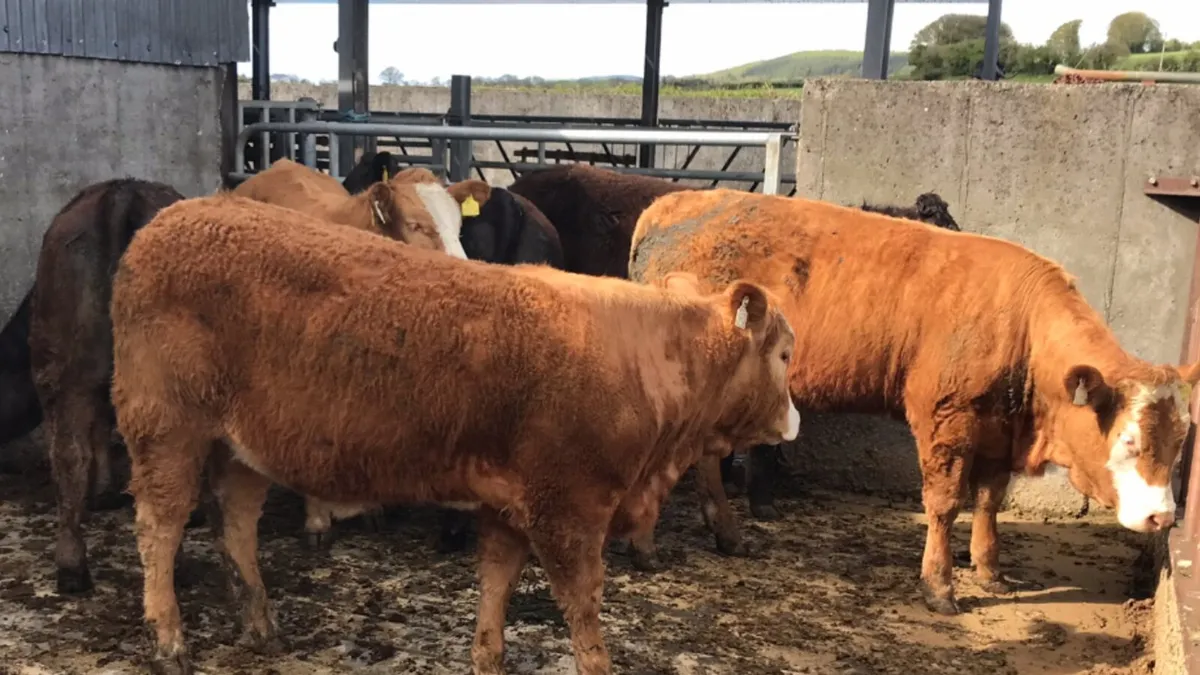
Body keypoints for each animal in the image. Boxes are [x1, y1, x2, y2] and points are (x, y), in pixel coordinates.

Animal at [109, 192, 799, 675]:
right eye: (786, 353)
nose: (794, 419)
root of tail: (164, 222)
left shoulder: (508, 508)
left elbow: (495, 590)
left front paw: (487, 655)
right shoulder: (568, 512)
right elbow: (583, 614)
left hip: (242, 445)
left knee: (235, 523)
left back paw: (259, 623)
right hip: (165, 426)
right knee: (159, 526)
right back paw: (169, 638)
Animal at [627, 188, 1198, 615]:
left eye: (1179, 444)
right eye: (1128, 441)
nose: (1163, 518)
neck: (1021, 324)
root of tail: (667, 206)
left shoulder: (999, 430)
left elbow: (989, 502)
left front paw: (989, 570)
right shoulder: (945, 417)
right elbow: (944, 504)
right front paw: (940, 586)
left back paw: (725, 533)